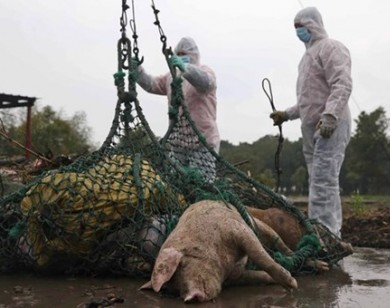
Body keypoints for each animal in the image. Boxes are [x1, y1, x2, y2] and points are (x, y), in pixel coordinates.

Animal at [139, 200, 298, 304]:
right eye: (175, 289)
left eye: (182, 265)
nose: (190, 298)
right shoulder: (235, 276)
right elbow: (257, 276)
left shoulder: (236, 228)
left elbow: (260, 256)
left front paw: (293, 285)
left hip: (256, 223)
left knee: (275, 239)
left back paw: (292, 255)